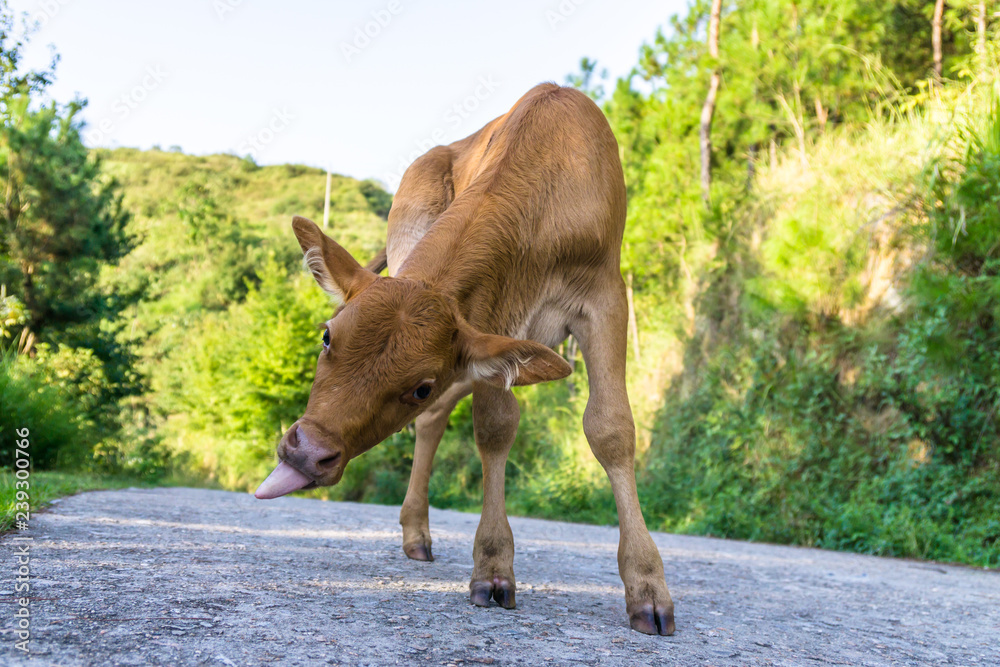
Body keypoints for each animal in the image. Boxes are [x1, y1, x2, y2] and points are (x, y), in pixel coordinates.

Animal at [258, 83, 676, 636]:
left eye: (420, 384)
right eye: (328, 336)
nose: (306, 452)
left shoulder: (604, 297)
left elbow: (610, 428)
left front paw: (647, 586)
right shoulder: (494, 317)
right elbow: (495, 426)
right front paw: (494, 566)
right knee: (437, 422)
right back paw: (416, 532)